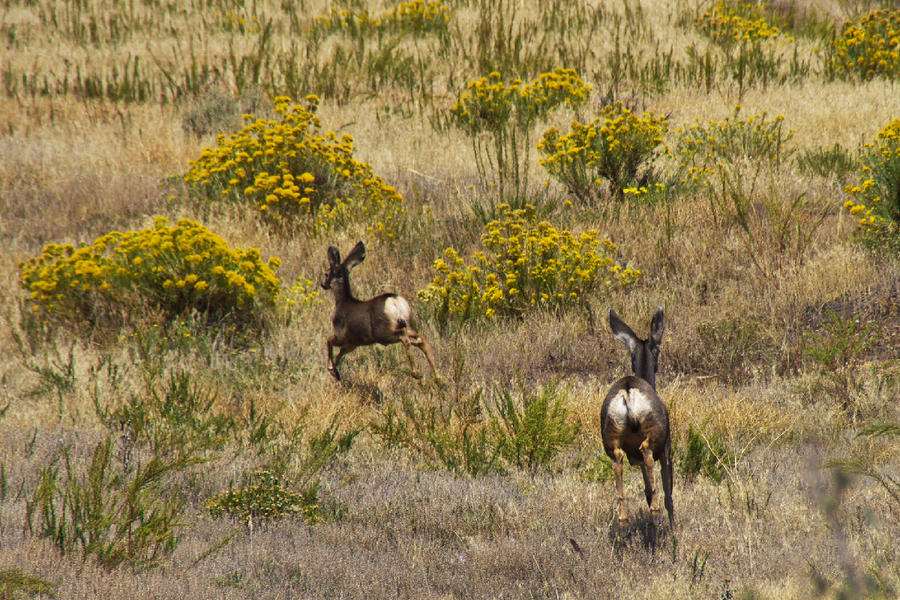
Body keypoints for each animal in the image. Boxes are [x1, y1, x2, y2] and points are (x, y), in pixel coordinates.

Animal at [320, 241, 440, 382]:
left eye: (326, 273)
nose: (323, 284)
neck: (342, 302)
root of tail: (395, 301)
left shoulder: (341, 335)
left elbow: (328, 340)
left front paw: (331, 370)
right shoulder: (353, 343)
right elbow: (339, 354)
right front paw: (335, 373)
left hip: (382, 331)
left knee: (404, 336)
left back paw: (416, 373)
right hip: (408, 323)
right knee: (421, 338)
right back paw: (439, 378)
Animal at [600, 308, 672, 528]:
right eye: (658, 350)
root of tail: (628, 392)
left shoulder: (637, 462)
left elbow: (647, 490)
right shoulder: (667, 447)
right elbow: (669, 493)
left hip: (611, 438)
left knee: (618, 460)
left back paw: (623, 519)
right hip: (654, 434)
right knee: (646, 451)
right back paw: (655, 513)